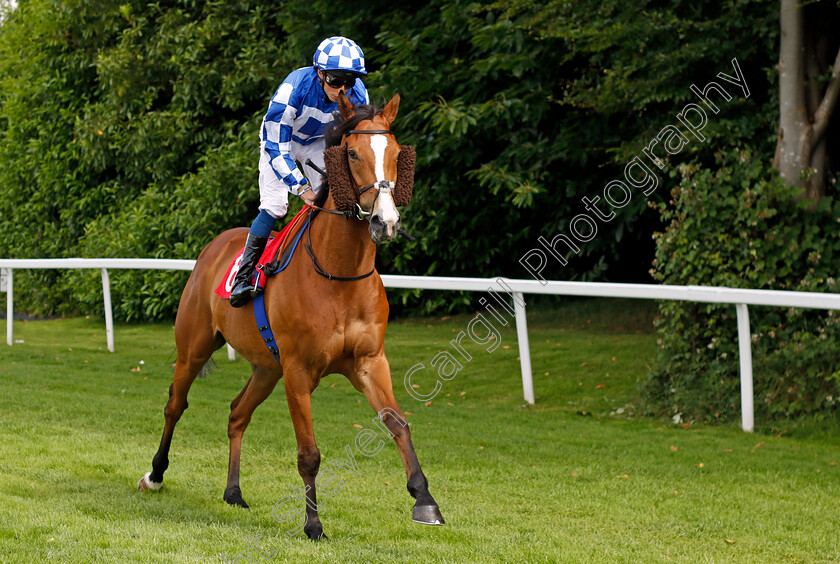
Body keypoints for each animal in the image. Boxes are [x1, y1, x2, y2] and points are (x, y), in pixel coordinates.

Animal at [136, 91, 446, 536]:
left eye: (396, 153)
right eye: (352, 153)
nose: (385, 222)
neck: (339, 274)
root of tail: (215, 246)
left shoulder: (369, 362)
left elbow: (398, 423)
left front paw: (425, 500)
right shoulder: (299, 372)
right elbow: (309, 453)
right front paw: (313, 524)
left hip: (267, 368)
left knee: (237, 414)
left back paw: (233, 491)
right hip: (193, 349)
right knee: (175, 405)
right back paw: (156, 474)